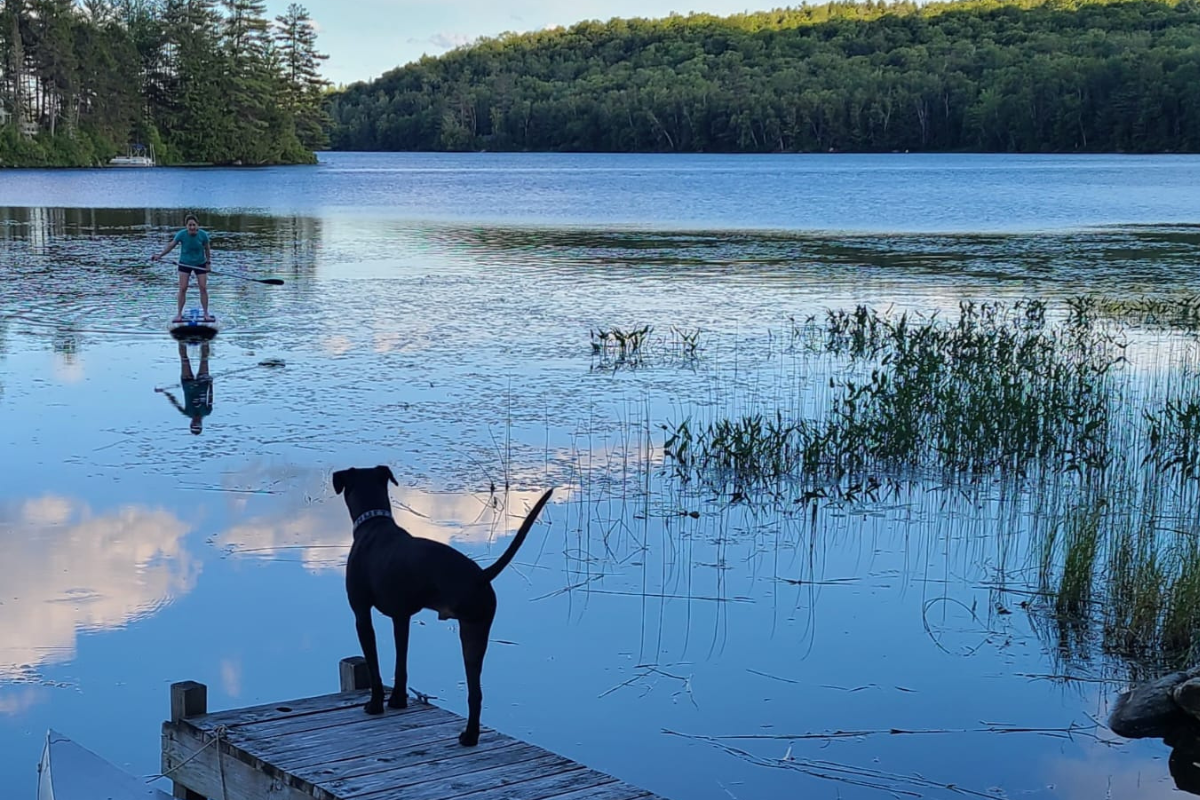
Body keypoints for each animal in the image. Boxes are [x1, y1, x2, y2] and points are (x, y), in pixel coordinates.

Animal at [331, 465, 549, 748]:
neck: (373, 525)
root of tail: (481, 576)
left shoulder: (361, 614)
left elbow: (375, 666)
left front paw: (375, 705)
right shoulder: (401, 618)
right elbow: (401, 664)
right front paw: (398, 700)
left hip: (468, 630)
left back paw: (468, 737)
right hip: (476, 631)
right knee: (476, 692)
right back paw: (471, 735)